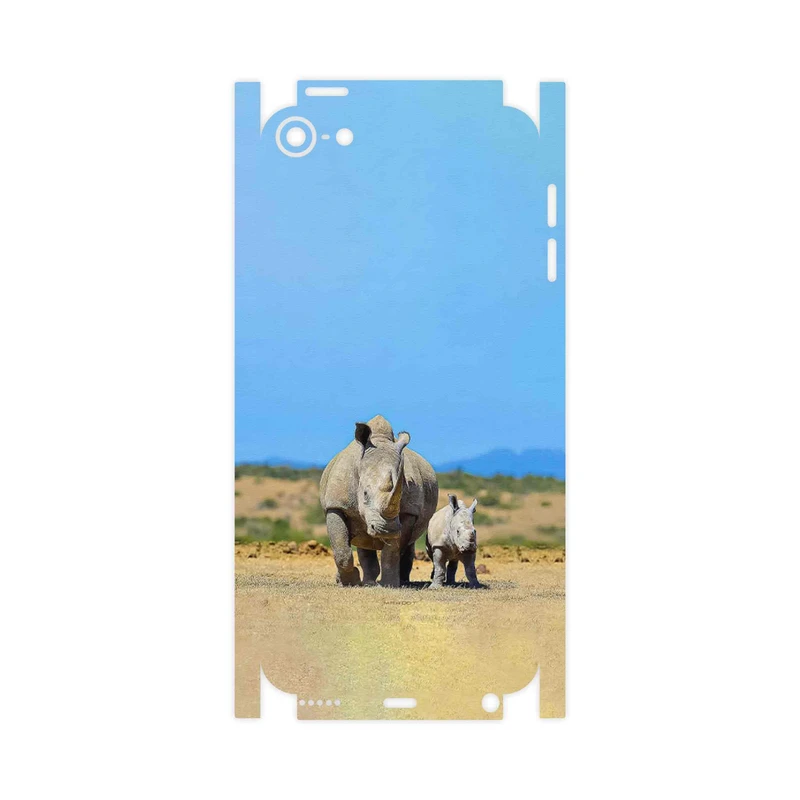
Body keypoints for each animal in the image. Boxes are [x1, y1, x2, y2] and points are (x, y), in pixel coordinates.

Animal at [319, 415, 439, 587]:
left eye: (400, 495)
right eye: (365, 494)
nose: (386, 530)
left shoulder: (408, 512)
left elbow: (392, 551)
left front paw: (390, 584)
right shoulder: (336, 505)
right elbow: (341, 549)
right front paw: (349, 582)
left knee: (407, 544)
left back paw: (401, 581)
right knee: (362, 540)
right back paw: (366, 582)